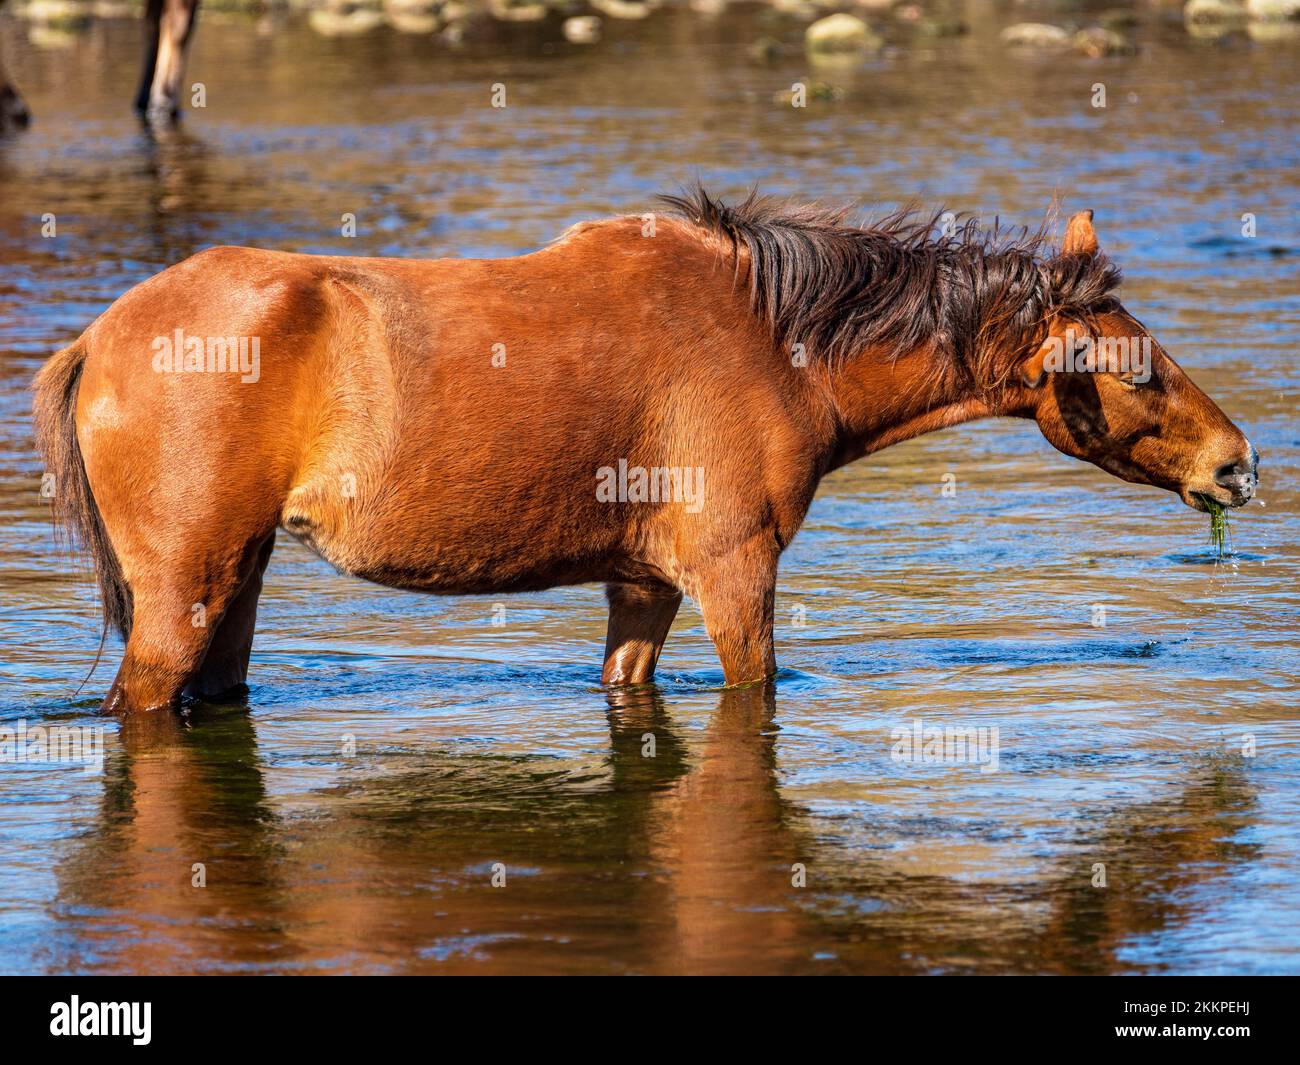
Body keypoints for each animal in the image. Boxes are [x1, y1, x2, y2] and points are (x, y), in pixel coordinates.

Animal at [32, 189, 1258, 717]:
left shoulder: (643, 583)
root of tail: (98, 339)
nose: (1237, 464)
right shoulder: (733, 567)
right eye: (1135, 369)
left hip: (237, 577)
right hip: (184, 584)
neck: (783, 346)